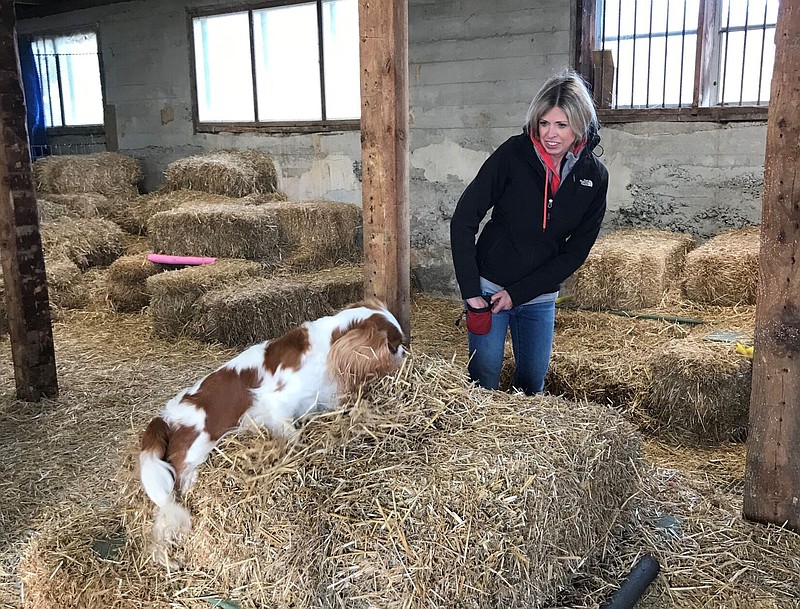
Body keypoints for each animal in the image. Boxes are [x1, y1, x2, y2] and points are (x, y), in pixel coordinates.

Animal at [138, 300, 406, 548]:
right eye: (395, 345)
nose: (404, 352)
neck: (329, 347)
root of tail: (165, 418)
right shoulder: (276, 406)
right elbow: (293, 435)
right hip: (193, 459)